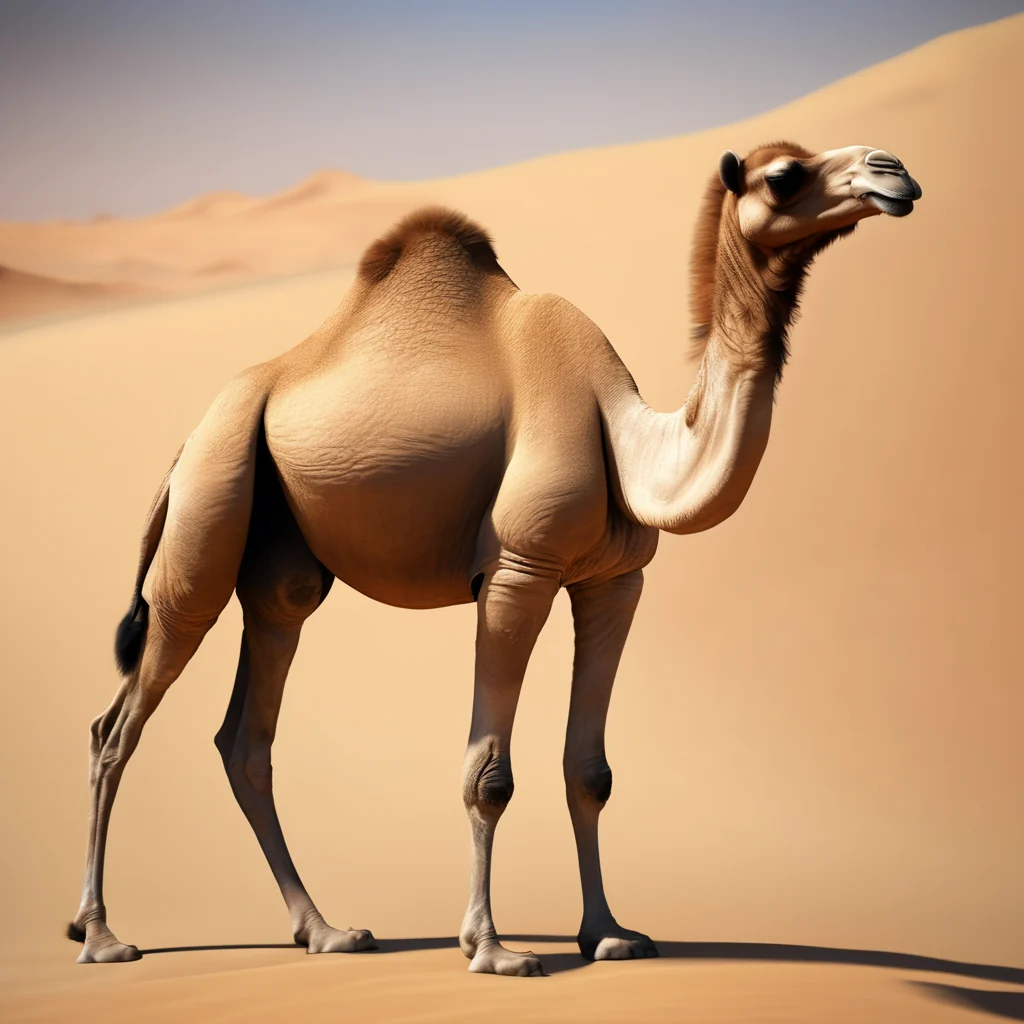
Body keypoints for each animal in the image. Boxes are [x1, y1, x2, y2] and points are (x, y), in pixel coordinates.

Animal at [68, 141, 921, 975]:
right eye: (784, 175)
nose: (893, 172)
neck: (627, 438)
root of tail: (185, 447)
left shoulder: (615, 582)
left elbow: (591, 770)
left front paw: (609, 934)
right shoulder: (519, 570)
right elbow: (490, 774)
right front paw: (491, 948)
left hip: (279, 565)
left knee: (247, 731)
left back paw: (327, 931)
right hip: (211, 503)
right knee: (119, 723)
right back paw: (102, 936)